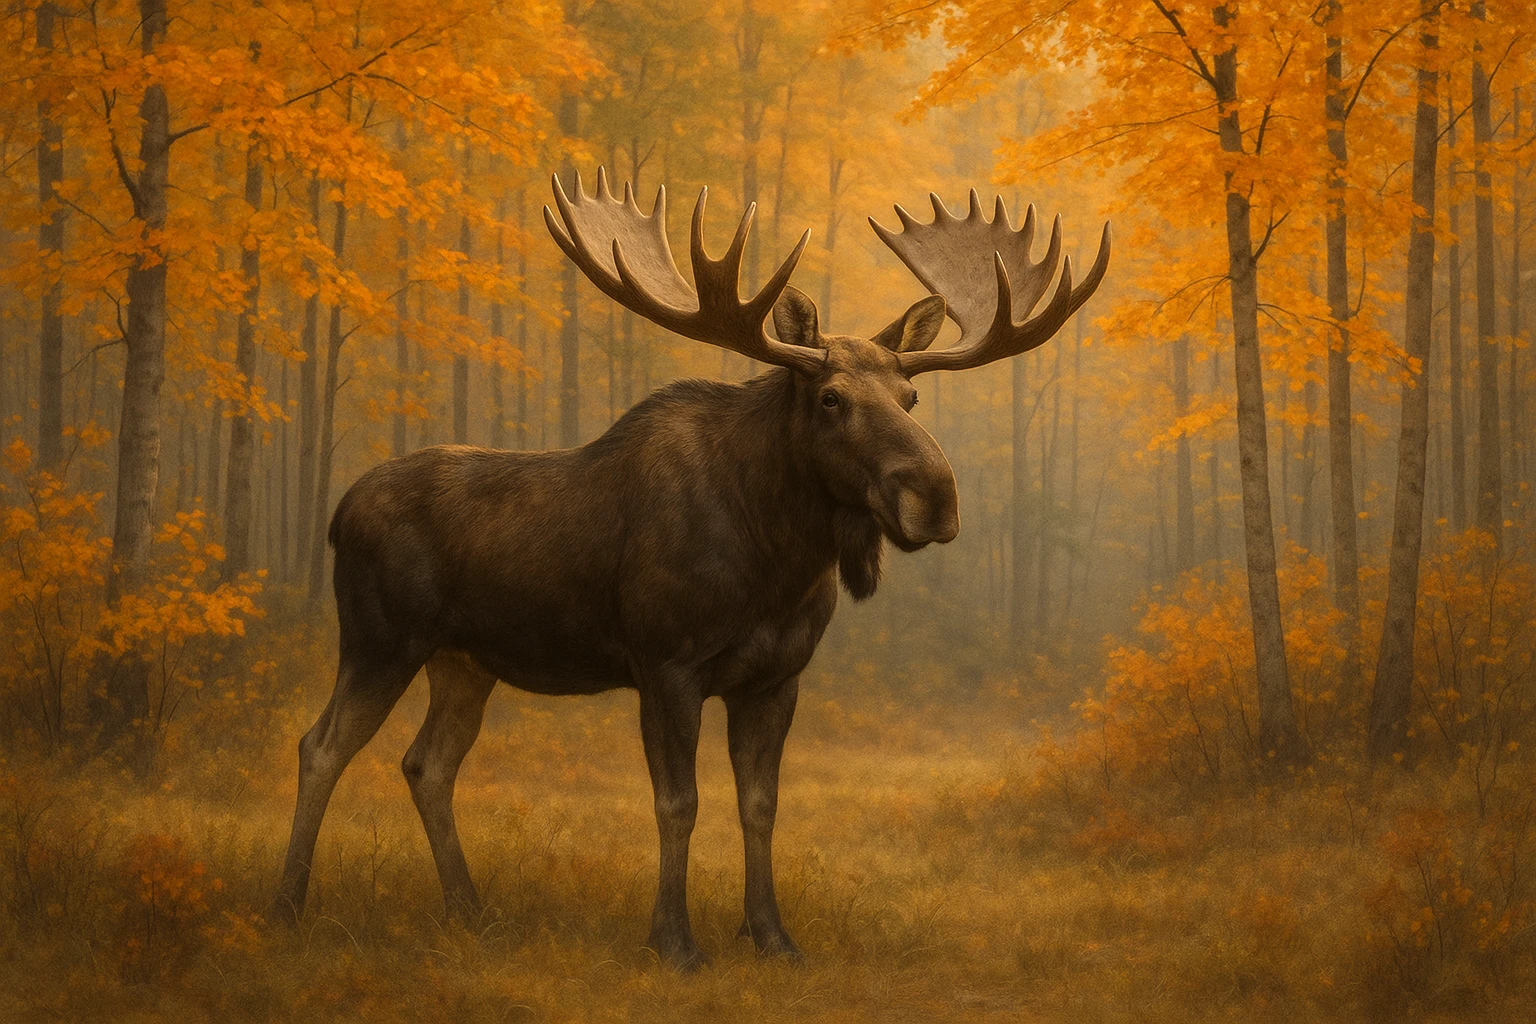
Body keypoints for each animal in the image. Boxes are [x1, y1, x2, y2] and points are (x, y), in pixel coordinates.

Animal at [273, 167, 1109, 969]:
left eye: (910, 395)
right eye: (831, 397)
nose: (934, 496)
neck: (776, 562)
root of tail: (337, 514)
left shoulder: (776, 677)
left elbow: (760, 805)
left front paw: (772, 937)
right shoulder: (665, 663)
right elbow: (679, 804)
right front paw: (673, 942)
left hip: (466, 661)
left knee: (428, 764)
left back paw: (470, 912)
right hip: (381, 639)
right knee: (322, 746)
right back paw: (288, 907)